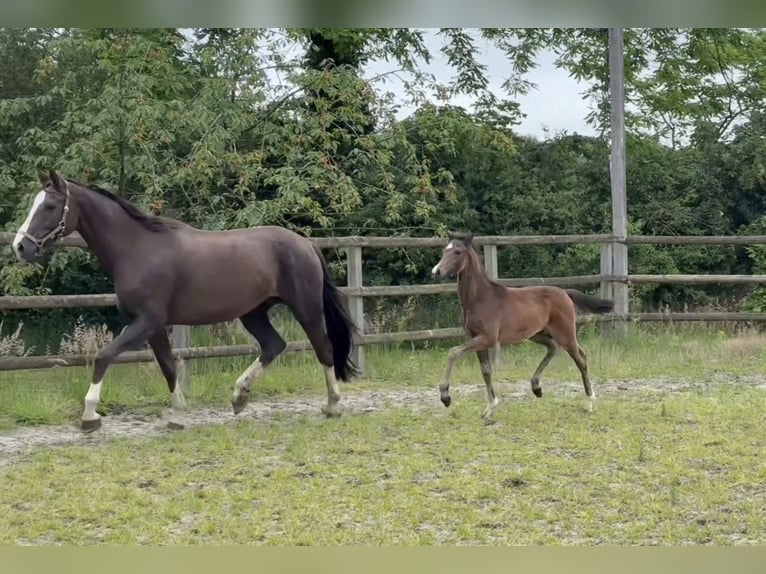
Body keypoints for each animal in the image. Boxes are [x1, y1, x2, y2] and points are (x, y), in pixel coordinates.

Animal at [12, 170, 359, 431]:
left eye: (50, 206)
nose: (20, 247)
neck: (137, 248)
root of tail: (305, 244)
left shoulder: (146, 321)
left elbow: (104, 356)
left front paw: (89, 416)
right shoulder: (153, 326)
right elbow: (168, 366)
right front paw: (178, 414)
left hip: (305, 307)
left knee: (323, 347)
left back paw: (332, 406)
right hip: (253, 312)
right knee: (274, 345)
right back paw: (239, 398)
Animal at [430, 232, 614, 418]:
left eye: (458, 252)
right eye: (444, 250)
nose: (436, 271)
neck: (480, 299)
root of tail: (565, 293)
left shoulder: (488, 338)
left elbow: (453, 352)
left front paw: (445, 397)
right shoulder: (476, 338)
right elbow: (486, 370)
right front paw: (490, 408)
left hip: (565, 333)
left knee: (580, 359)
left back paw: (589, 403)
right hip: (538, 334)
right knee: (553, 348)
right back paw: (536, 387)